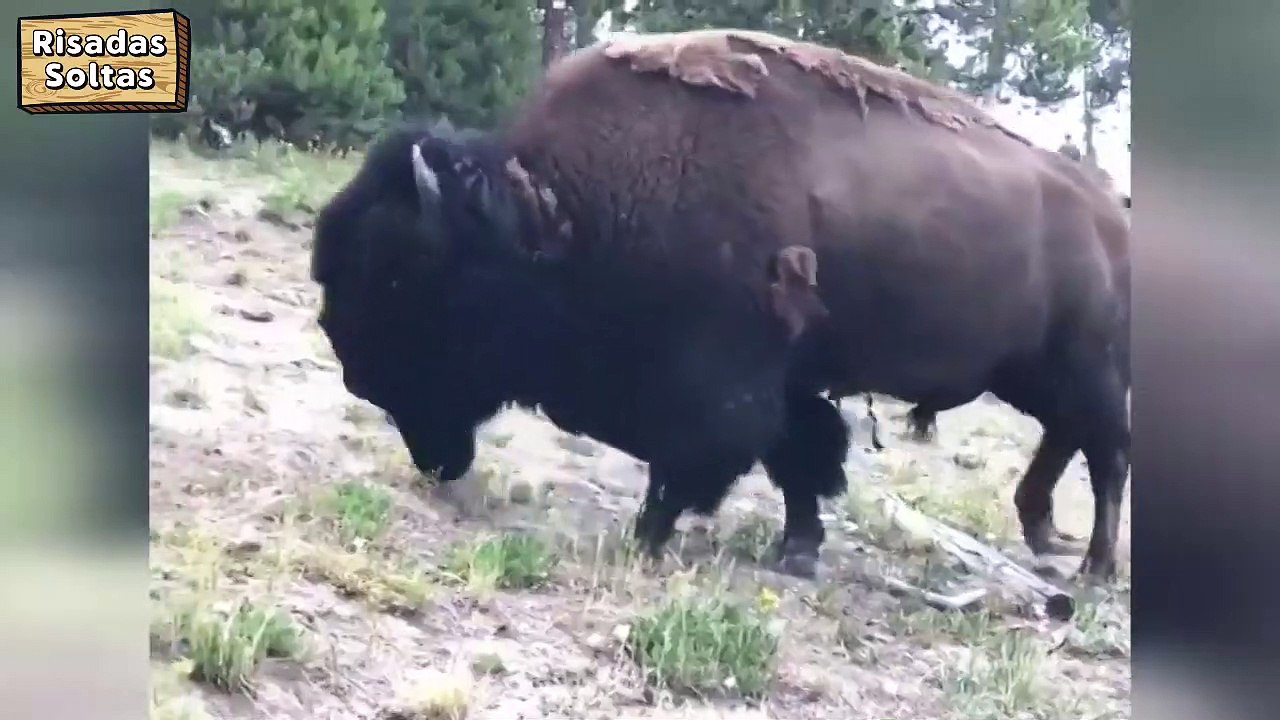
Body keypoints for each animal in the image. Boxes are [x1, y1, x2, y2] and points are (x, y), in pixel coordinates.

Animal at [311, 29, 1130, 581]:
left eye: (402, 275)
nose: (357, 373)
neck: (561, 216)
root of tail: (1111, 213)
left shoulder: (716, 384)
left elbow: (701, 459)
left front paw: (649, 536)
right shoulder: (786, 383)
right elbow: (802, 458)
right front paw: (797, 550)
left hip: (1087, 371)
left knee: (1108, 455)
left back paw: (1092, 570)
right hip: (1026, 374)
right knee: (1069, 439)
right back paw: (1043, 534)